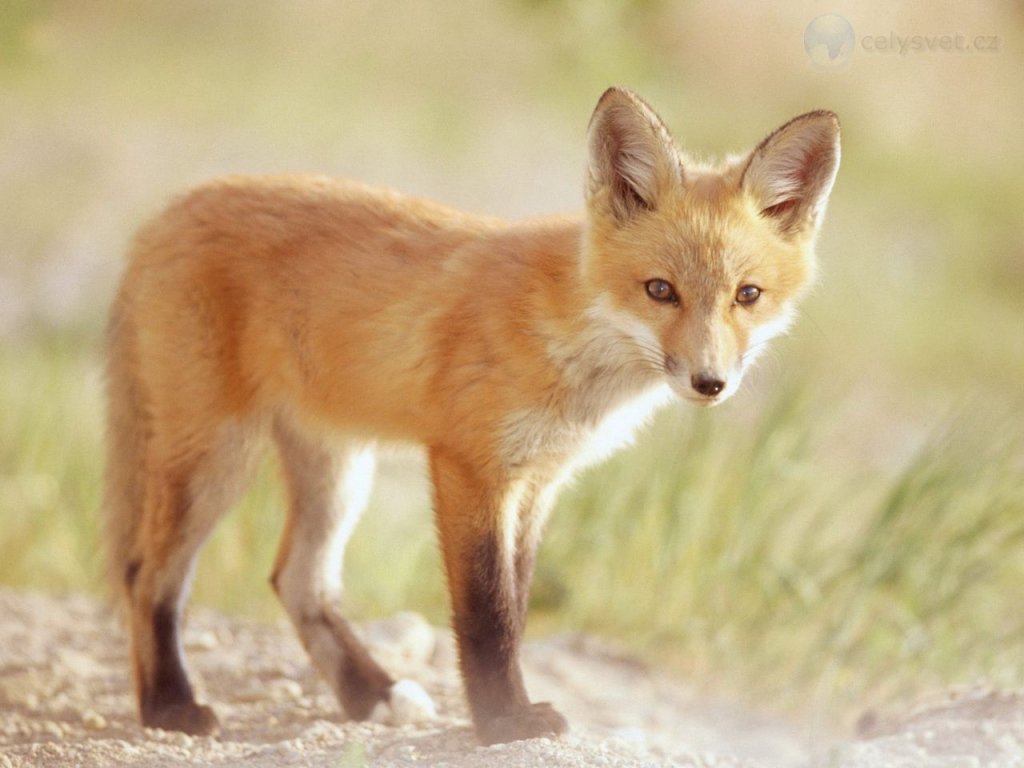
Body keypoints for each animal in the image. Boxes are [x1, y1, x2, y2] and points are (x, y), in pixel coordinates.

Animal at [103, 87, 840, 745]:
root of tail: (165, 211)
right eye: (661, 290)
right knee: (149, 576)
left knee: (297, 581)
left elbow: (516, 605)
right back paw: (170, 706)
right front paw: (503, 724)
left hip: (338, 470)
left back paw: (369, 694)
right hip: (215, 457)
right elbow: (486, 615)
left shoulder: (539, 482)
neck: (570, 338)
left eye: (748, 295)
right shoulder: (469, 465)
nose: (710, 382)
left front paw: (501, 712)